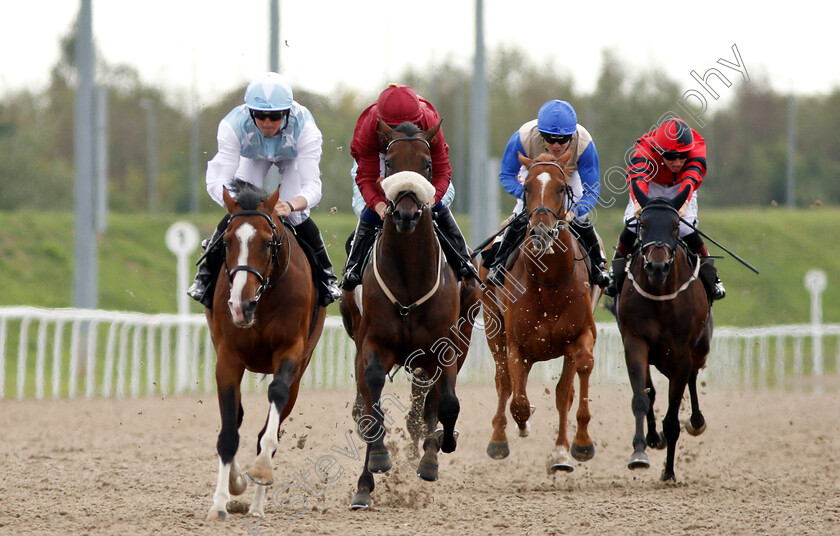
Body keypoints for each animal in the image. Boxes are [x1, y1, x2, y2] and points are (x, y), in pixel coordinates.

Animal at [205, 180, 326, 520]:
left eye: (268, 242)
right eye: (227, 241)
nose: (241, 305)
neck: (266, 295)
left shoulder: (290, 350)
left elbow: (275, 402)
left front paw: (260, 470)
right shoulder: (228, 357)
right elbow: (229, 429)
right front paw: (221, 500)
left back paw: (257, 505)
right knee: (237, 416)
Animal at [338, 119, 476, 508]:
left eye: (427, 165)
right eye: (391, 164)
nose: (406, 213)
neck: (410, 276)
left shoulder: (445, 347)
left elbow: (446, 404)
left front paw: (438, 449)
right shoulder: (372, 342)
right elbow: (372, 401)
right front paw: (377, 462)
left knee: (430, 405)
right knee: (367, 406)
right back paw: (365, 484)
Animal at [480, 152, 596, 474]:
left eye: (560, 187)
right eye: (527, 187)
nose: (541, 232)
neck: (549, 281)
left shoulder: (580, 335)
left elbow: (569, 387)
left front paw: (572, 447)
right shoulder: (516, 343)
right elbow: (517, 398)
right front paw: (520, 424)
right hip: (493, 324)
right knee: (504, 382)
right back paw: (498, 439)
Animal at [620, 182, 712, 480]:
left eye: (673, 226)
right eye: (643, 226)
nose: (657, 267)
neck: (660, 295)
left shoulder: (682, 352)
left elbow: (672, 418)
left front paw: (669, 472)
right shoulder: (635, 342)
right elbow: (641, 397)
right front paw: (639, 452)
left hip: (700, 348)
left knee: (693, 375)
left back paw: (696, 421)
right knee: (651, 390)